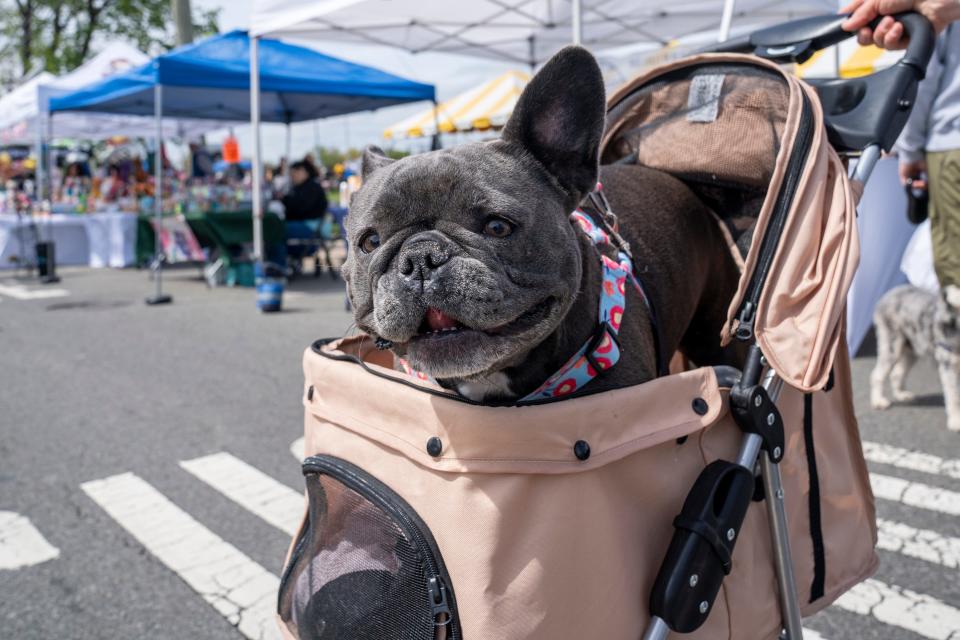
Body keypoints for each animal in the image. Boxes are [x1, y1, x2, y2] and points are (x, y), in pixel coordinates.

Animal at [872, 284, 960, 430]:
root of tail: (891, 292)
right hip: (891, 346)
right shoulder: (949, 367)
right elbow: (954, 397)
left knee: (896, 374)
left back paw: (901, 395)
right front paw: (956, 421)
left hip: (911, 350)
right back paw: (878, 401)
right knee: (877, 375)